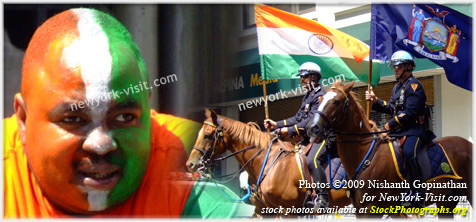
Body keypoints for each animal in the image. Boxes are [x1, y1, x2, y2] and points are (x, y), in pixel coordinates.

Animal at [306, 80, 470, 218]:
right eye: (320, 100)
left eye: (336, 101)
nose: (312, 129)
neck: (366, 155)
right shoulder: (365, 210)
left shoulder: (372, 208)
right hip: (447, 199)